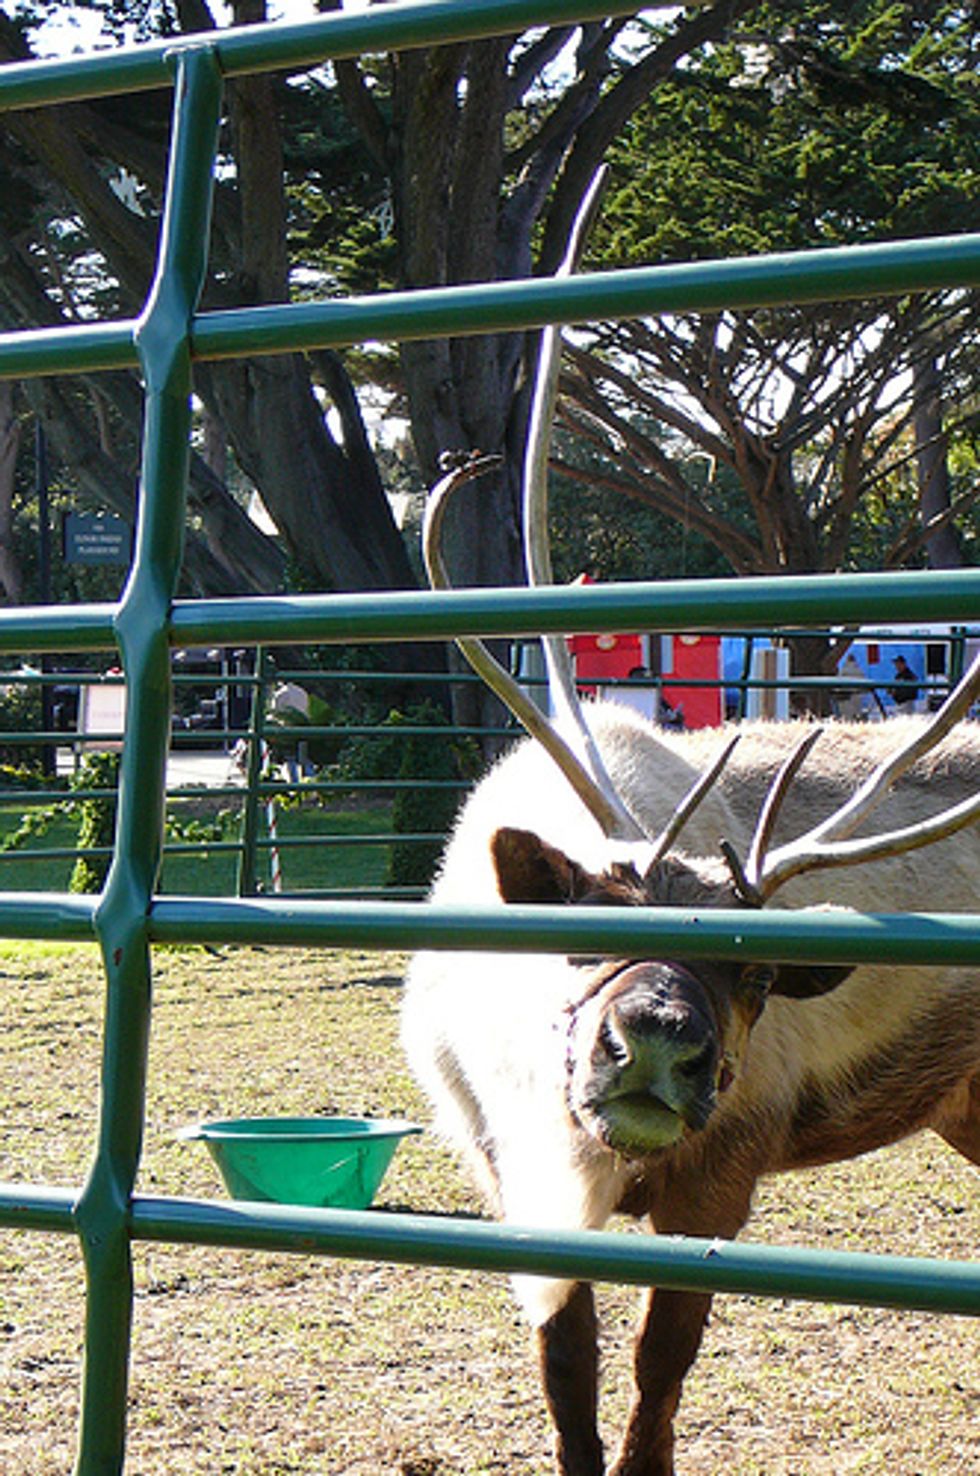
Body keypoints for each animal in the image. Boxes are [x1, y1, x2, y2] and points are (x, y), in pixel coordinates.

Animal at [401, 176, 980, 1476]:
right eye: (578, 934)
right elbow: (566, 1377)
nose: (655, 1046)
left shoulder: (723, 1174)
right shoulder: (510, 1178)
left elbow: (657, 1380)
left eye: (760, 968)